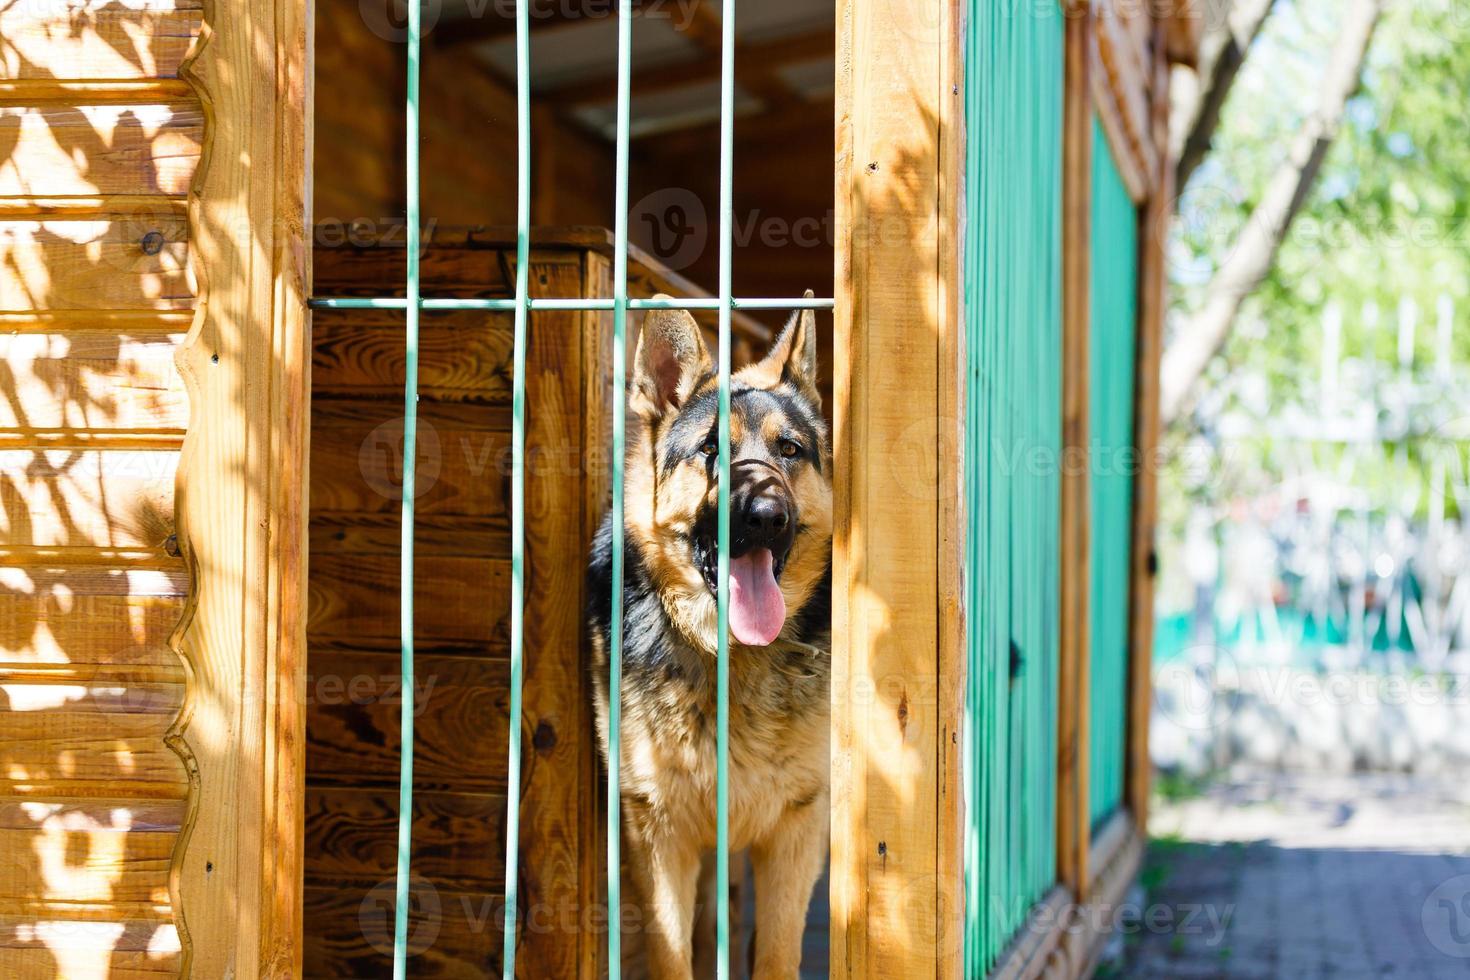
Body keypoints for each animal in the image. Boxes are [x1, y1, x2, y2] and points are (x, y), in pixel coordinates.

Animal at [588, 301, 840, 980]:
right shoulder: (659, 834)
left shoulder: (796, 831)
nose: (766, 518)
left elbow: (775, 955)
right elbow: (672, 953)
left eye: (789, 450)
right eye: (708, 451)